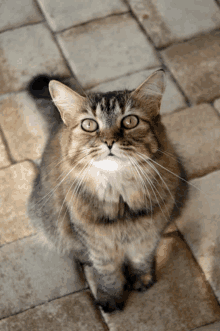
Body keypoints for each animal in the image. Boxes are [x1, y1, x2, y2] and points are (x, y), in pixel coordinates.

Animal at [27, 70, 188, 314]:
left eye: (130, 121)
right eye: (89, 125)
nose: (109, 141)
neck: (121, 197)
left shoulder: (150, 231)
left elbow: (141, 258)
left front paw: (141, 279)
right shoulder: (96, 242)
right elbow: (108, 273)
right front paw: (112, 297)